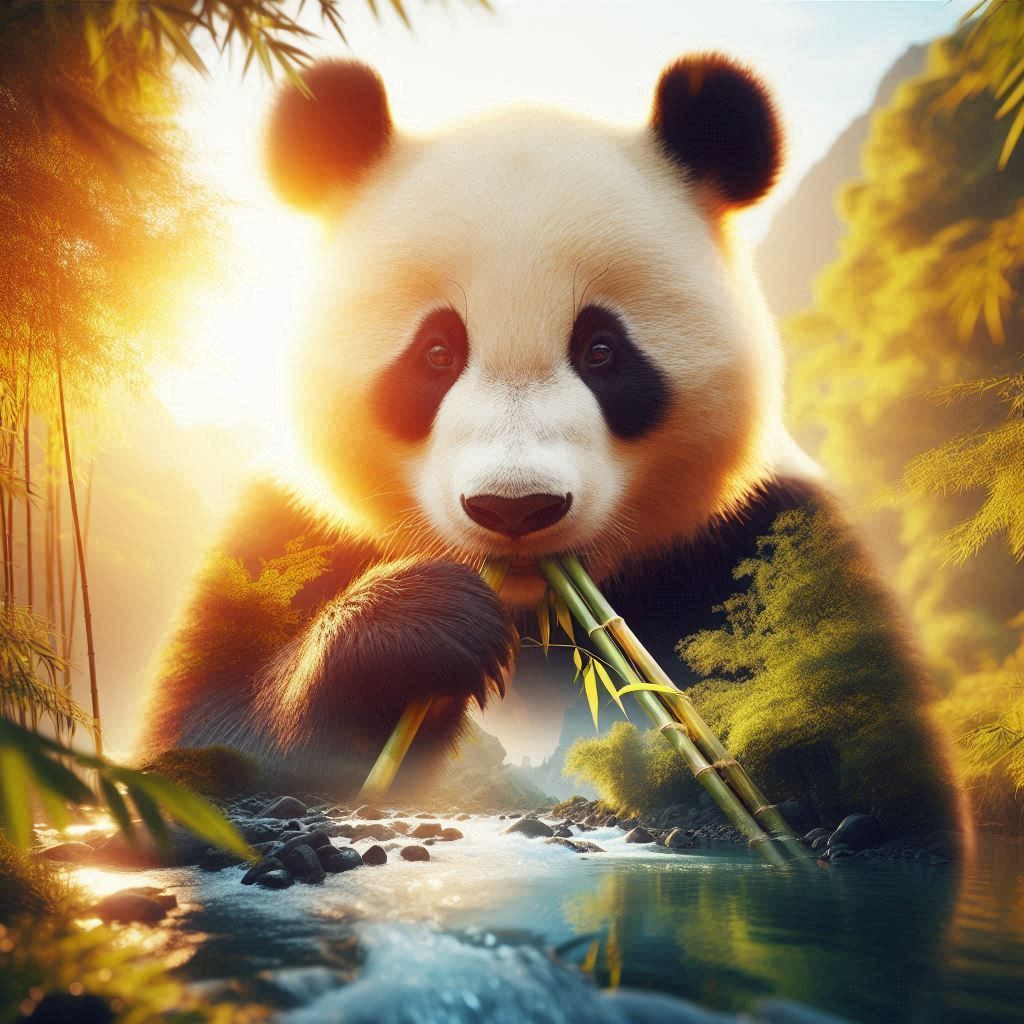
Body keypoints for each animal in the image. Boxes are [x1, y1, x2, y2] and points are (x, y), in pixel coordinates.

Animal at [137, 55, 964, 837]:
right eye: (436, 353)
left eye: (601, 350)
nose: (516, 507)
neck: (533, 610)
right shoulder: (291, 531)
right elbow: (205, 738)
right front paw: (429, 622)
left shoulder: (757, 533)